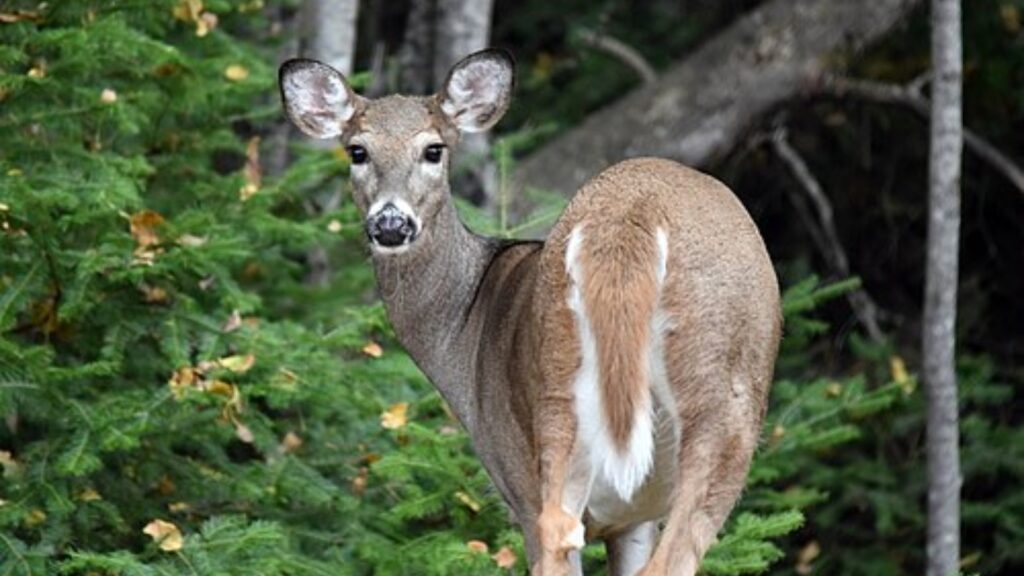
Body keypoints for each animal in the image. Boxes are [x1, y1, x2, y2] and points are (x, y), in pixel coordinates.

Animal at [279, 48, 781, 576]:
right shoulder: (626, 513)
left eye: (434, 150)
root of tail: (632, 217)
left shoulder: (530, 481)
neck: (466, 324)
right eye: (357, 151)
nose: (391, 224)